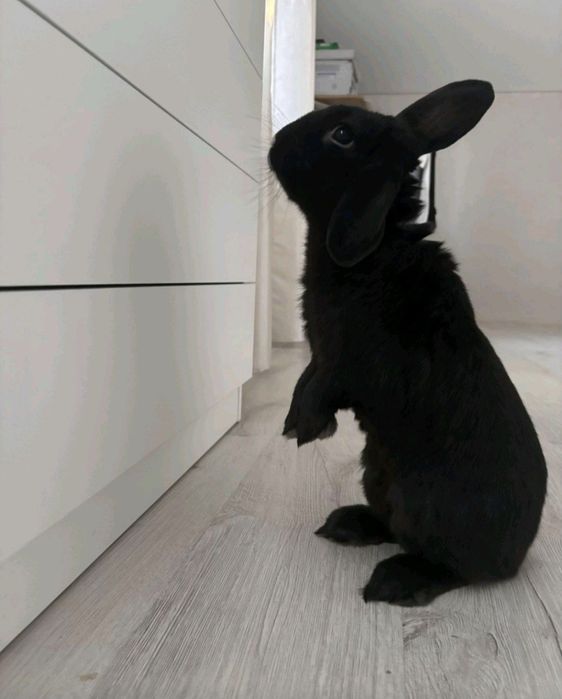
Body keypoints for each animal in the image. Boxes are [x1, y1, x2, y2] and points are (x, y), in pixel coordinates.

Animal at [268, 80, 547, 606]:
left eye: (342, 134)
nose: (276, 142)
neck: (378, 248)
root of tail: (516, 555)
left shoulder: (344, 362)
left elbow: (320, 386)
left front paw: (306, 429)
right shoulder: (321, 354)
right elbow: (304, 378)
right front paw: (295, 423)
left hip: (427, 505)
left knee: (451, 566)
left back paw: (393, 581)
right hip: (377, 474)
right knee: (393, 526)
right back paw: (347, 525)